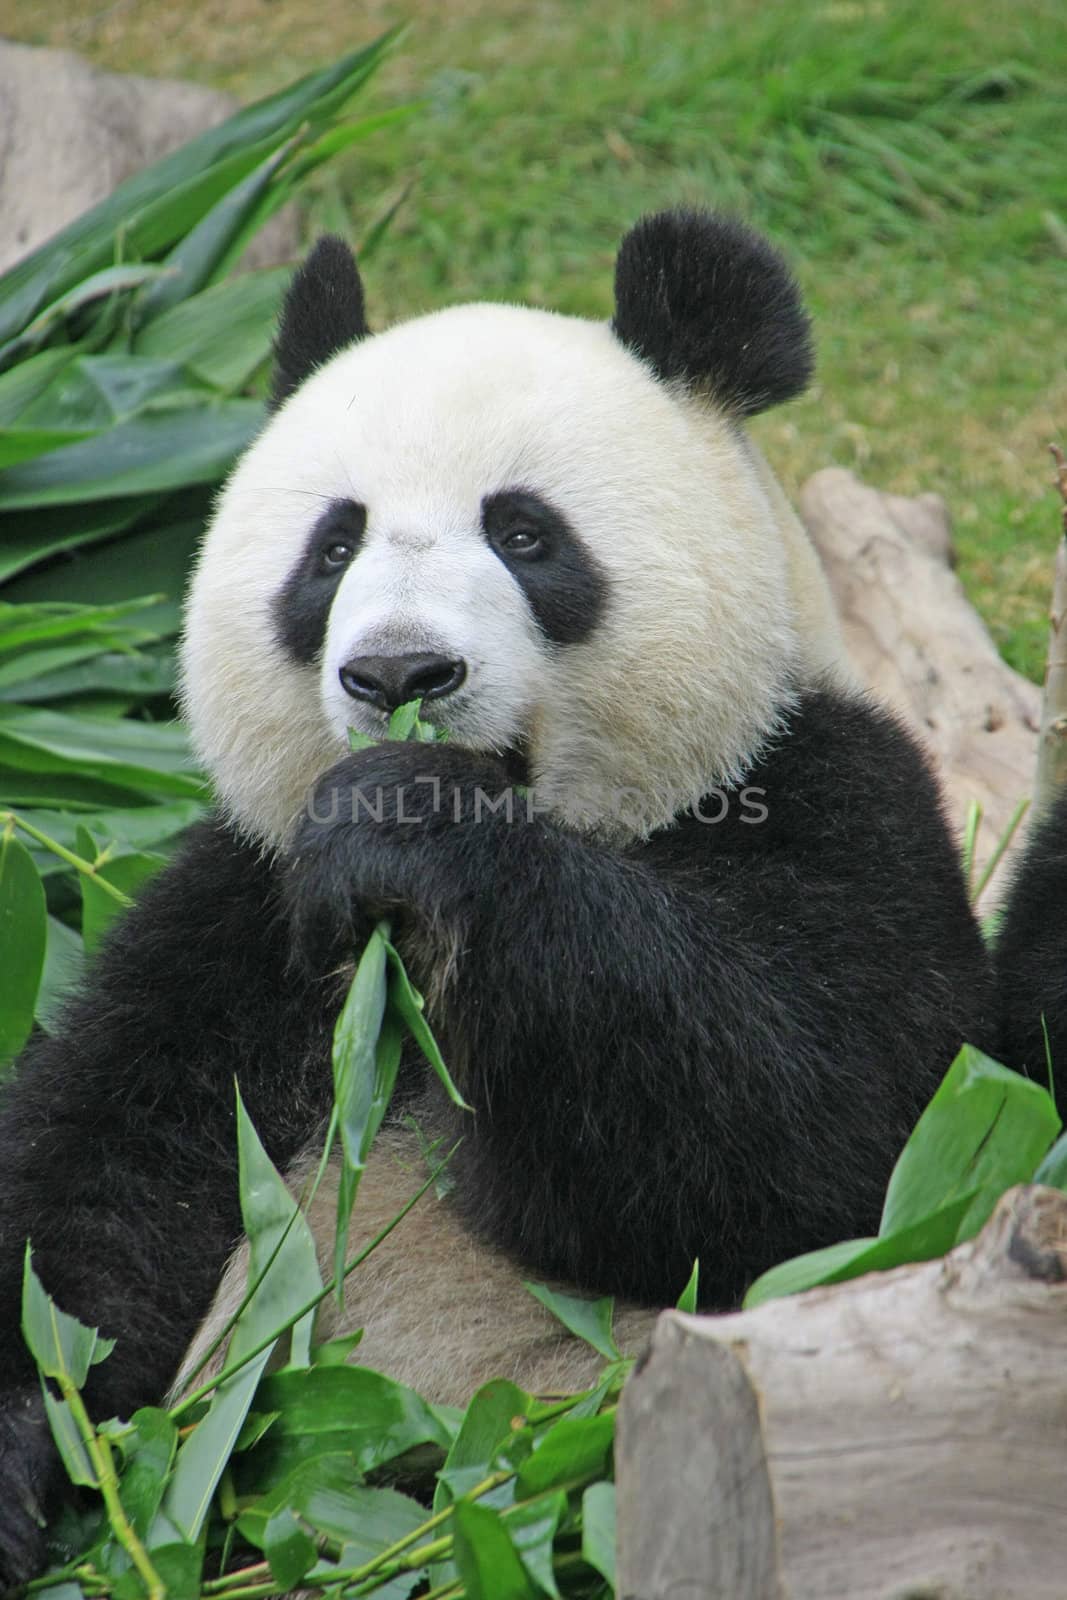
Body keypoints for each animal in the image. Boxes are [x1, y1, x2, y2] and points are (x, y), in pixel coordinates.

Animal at [0, 206, 991, 1580]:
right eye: (334, 545)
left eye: (524, 534)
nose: (397, 673)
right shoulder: (240, 908)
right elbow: (91, 1198)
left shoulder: (830, 798)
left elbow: (815, 1152)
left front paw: (416, 827)